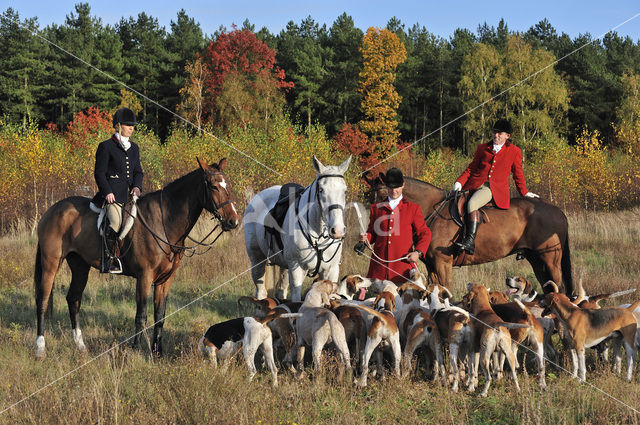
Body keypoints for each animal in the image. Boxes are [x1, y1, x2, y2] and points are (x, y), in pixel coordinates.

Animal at [35, 157, 240, 356]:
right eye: (213, 186)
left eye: (227, 185)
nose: (233, 221)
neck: (163, 222)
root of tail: (52, 210)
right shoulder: (144, 276)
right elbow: (141, 316)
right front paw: (135, 350)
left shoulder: (165, 279)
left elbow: (160, 316)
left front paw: (158, 352)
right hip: (51, 263)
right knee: (42, 300)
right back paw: (40, 347)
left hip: (80, 265)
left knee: (73, 299)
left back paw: (80, 345)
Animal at [244, 156, 352, 302]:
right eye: (321, 190)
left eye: (344, 191)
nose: (338, 230)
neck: (317, 234)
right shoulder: (297, 269)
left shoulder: (332, 270)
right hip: (257, 259)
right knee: (260, 291)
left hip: (284, 265)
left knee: (281, 290)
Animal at [364, 172, 576, 294]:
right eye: (370, 198)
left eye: (384, 196)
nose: (375, 228)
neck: (432, 209)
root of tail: (557, 210)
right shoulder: (432, 266)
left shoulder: (442, 263)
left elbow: (447, 292)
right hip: (536, 260)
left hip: (550, 259)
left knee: (560, 289)